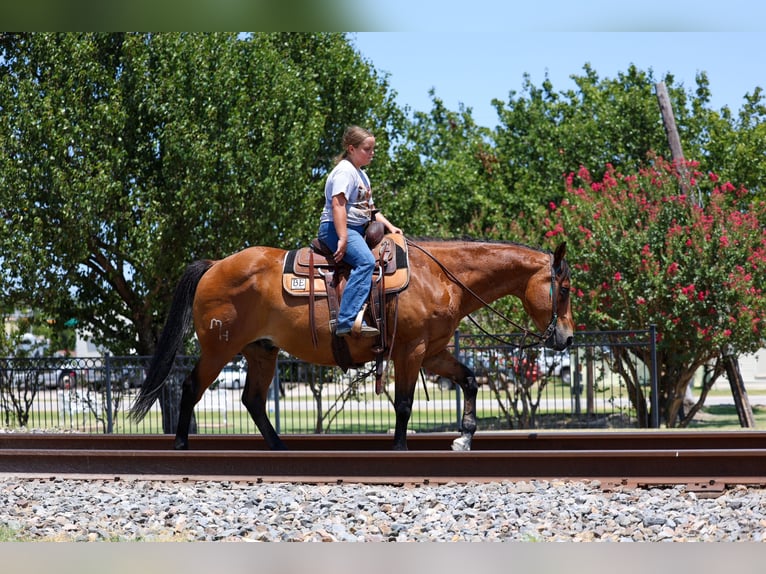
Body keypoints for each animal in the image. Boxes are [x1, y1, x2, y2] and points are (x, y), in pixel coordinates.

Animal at [130, 238, 573, 451]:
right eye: (566, 288)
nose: (567, 337)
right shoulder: (410, 351)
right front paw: (400, 448)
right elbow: (405, 403)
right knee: (191, 388)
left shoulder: (433, 352)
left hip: (261, 351)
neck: (439, 276)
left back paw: (279, 447)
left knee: (253, 400)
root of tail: (213, 266)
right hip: (219, 350)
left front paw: (463, 437)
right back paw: (182, 445)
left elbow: (470, 380)